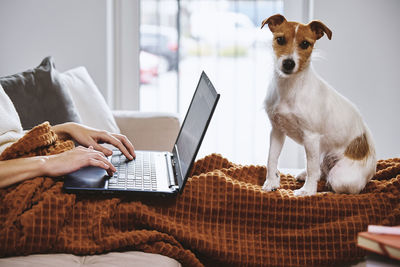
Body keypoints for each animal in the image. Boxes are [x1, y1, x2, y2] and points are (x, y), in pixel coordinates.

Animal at [260, 14, 376, 197]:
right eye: (280, 40)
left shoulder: (311, 137)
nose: (288, 63)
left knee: (332, 179)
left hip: (340, 175)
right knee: (321, 170)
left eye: (305, 44)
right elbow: (271, 159)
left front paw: (308, 191)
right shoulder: (277, 130)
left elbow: (312, 168)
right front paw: (271, 182)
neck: (290, 89)